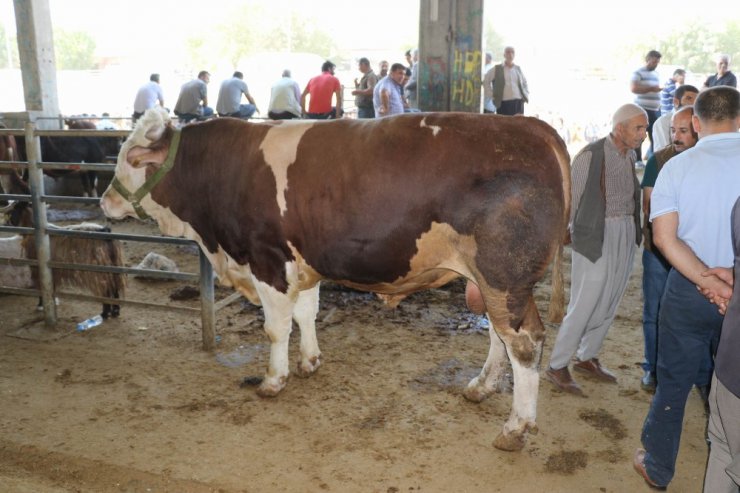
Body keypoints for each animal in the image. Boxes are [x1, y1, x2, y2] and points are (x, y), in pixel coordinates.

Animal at [101, 106, 568, 450]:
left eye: (130, 160)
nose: (104, 201)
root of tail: (531, 126)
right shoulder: (305, 263)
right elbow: (306, 315)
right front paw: (309, 361)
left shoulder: (267, 260)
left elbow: (276, 328)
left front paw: (273, 380)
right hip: (490, 282)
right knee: (498, 335)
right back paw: (481, 387)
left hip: (504, 276)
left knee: (524, 343)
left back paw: (515, 428)